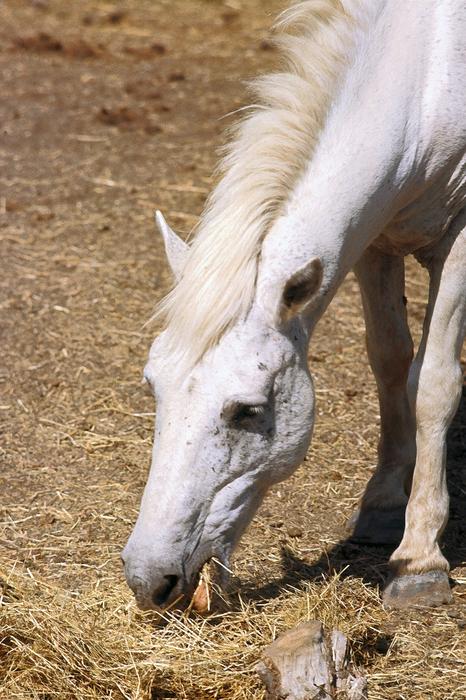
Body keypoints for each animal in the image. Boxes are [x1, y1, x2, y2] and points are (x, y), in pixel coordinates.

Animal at [122, 0, 464, 608]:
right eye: (152, 386)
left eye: (246, 410)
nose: (147, 578)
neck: (429, 68)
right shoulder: (374, 238)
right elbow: (389, 360)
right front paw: (382, 509)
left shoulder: (459, 234)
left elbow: (433, 383)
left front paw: (419, 560)